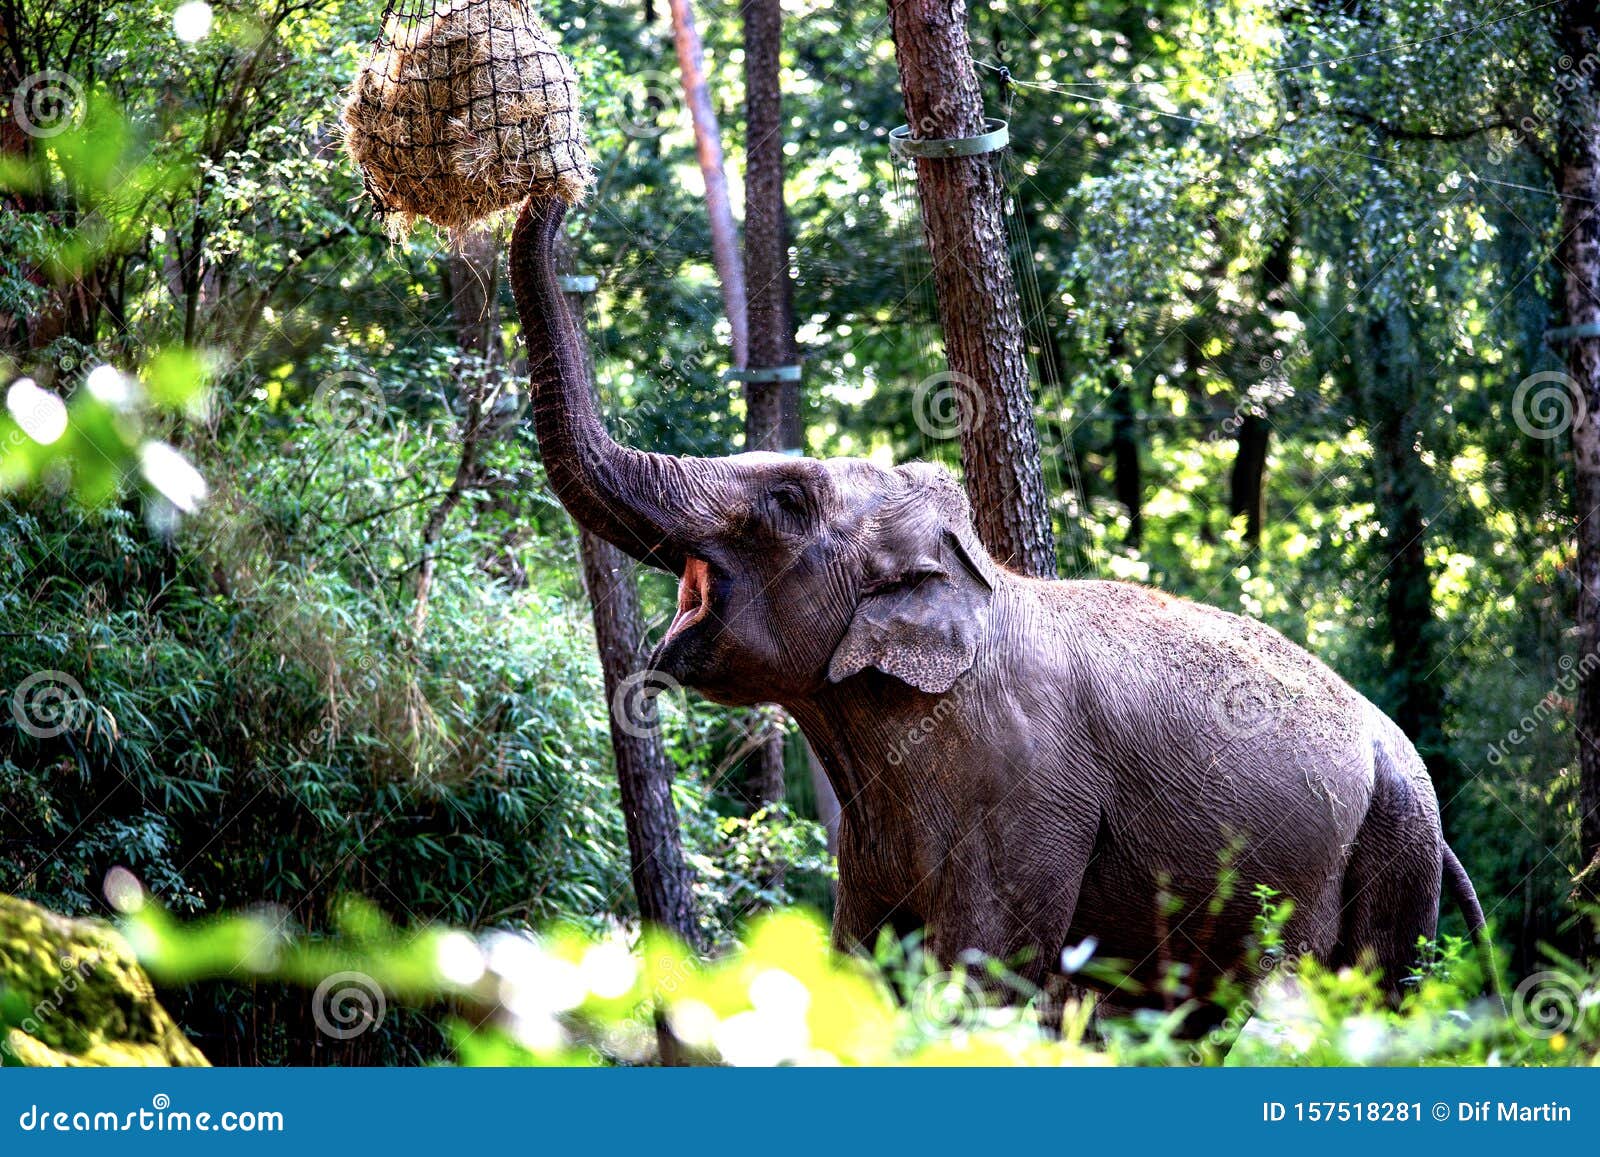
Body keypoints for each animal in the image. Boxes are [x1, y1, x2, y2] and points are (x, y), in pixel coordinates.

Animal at [512, 196, 1484, 1011]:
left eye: (786, 501)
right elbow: (861, 963)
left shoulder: (1027, 789)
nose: (556, 192)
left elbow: (984, 977)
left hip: (1390, 846)